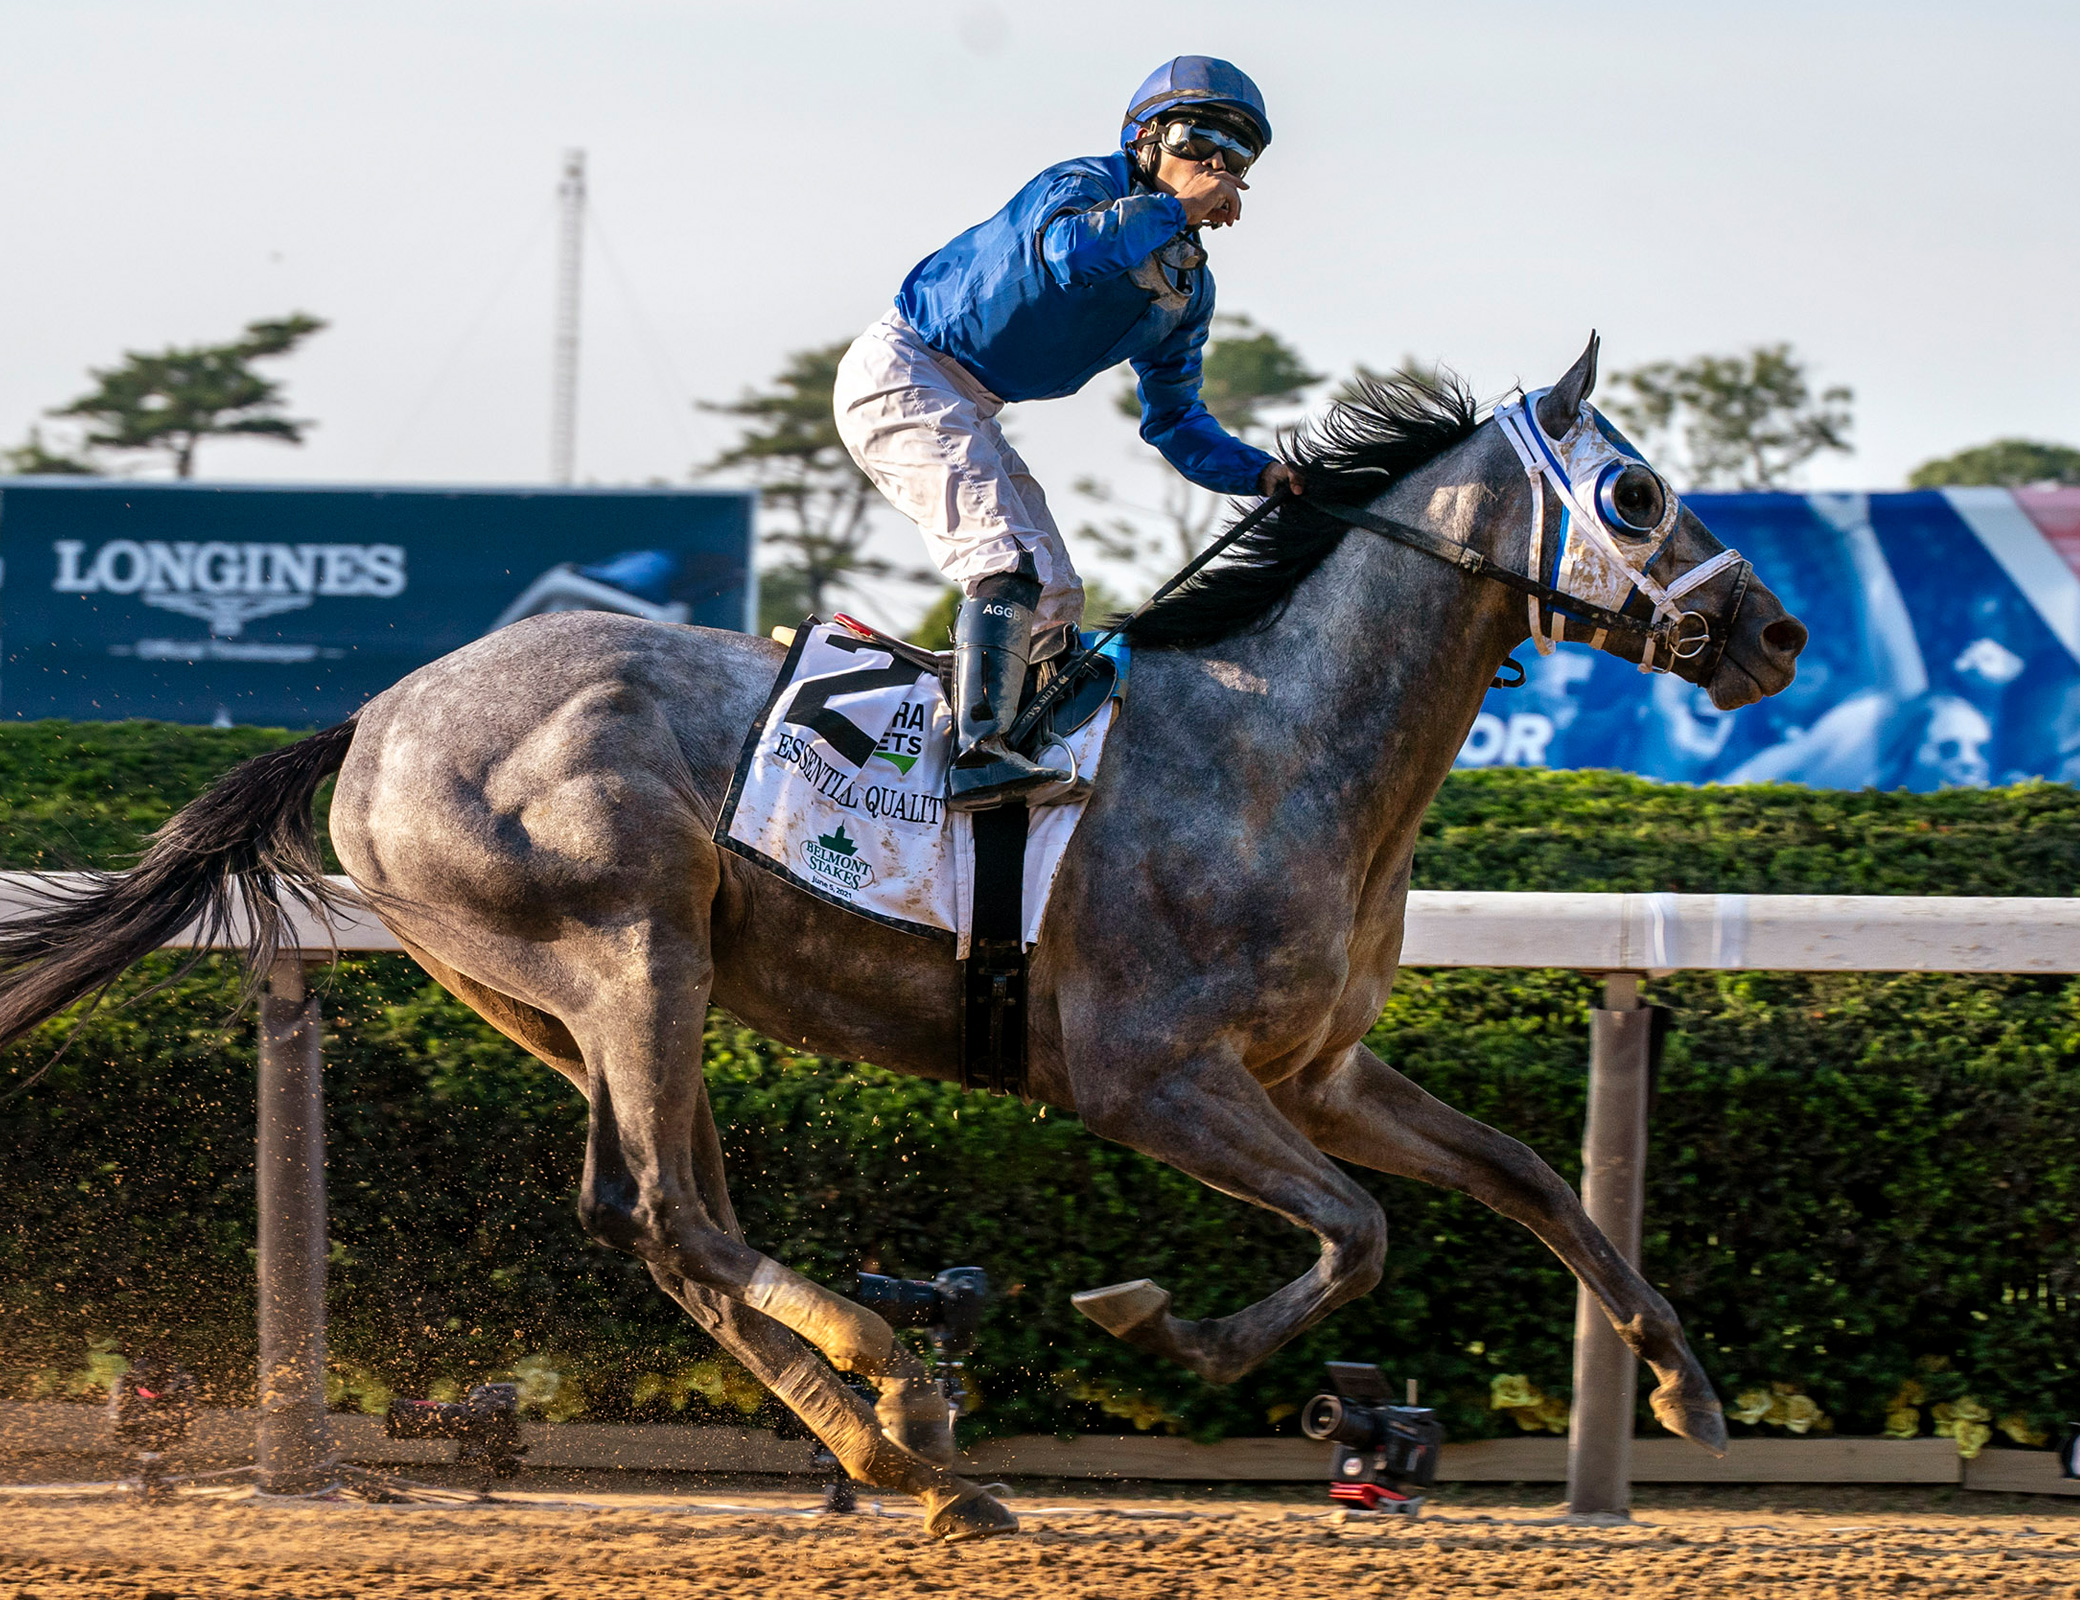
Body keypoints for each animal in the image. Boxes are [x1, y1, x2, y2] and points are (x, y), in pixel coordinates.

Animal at [0, 337, 1805, 1531]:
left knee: (658, 1213)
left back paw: (899, 1444)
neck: (1276, 743)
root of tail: (373, 716)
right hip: (627, 947)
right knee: (666, 1214)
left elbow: (1527, 1176)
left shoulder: (1316, 1071)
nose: (1776, 631)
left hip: (565, 996)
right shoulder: (1145, 1073)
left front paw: (1683, 1382)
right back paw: (895, 1391)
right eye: (1637, 489)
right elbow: (1358, 1234)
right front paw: (1166, 1326)